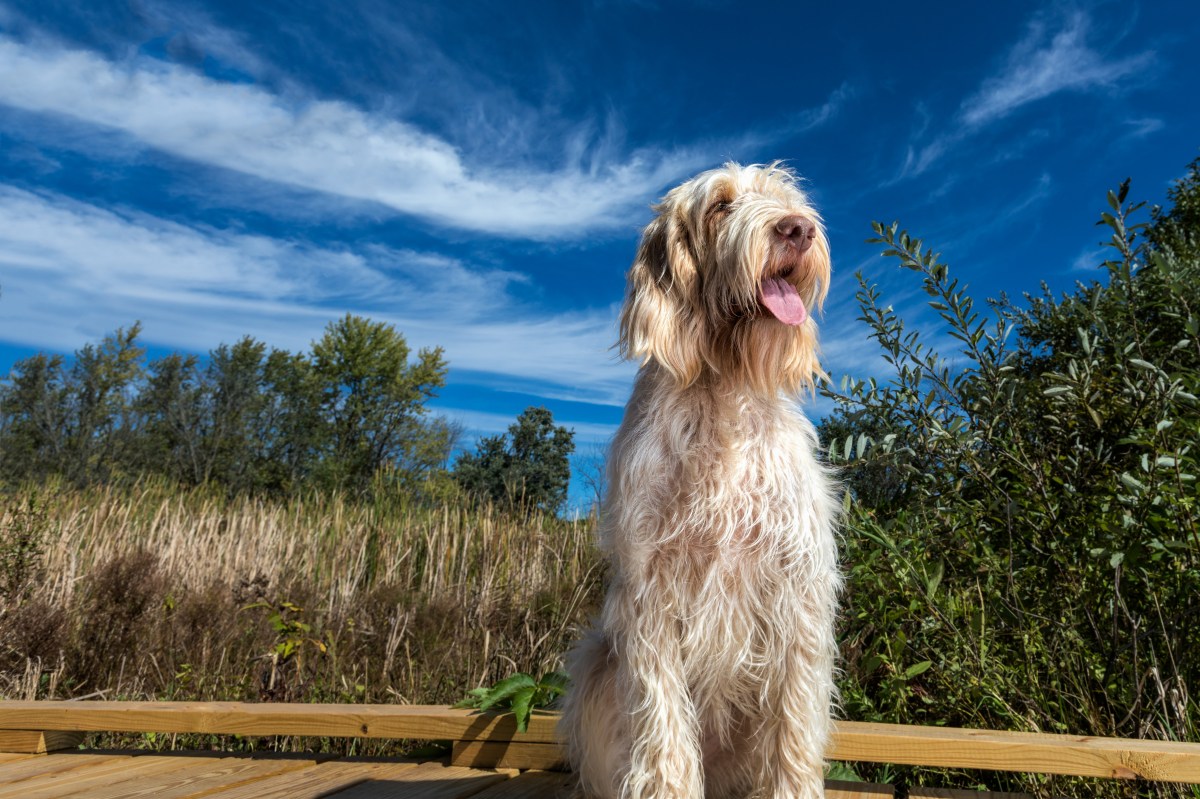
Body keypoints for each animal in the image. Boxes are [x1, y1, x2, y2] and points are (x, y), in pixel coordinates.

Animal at [559, 161, 835, 796]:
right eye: (720, 206)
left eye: (786, 200)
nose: (798, 229)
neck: (723, 389)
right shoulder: (651, 598)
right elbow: (663, 731)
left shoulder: (797, 593)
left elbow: (793, 725)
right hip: (596, 664)